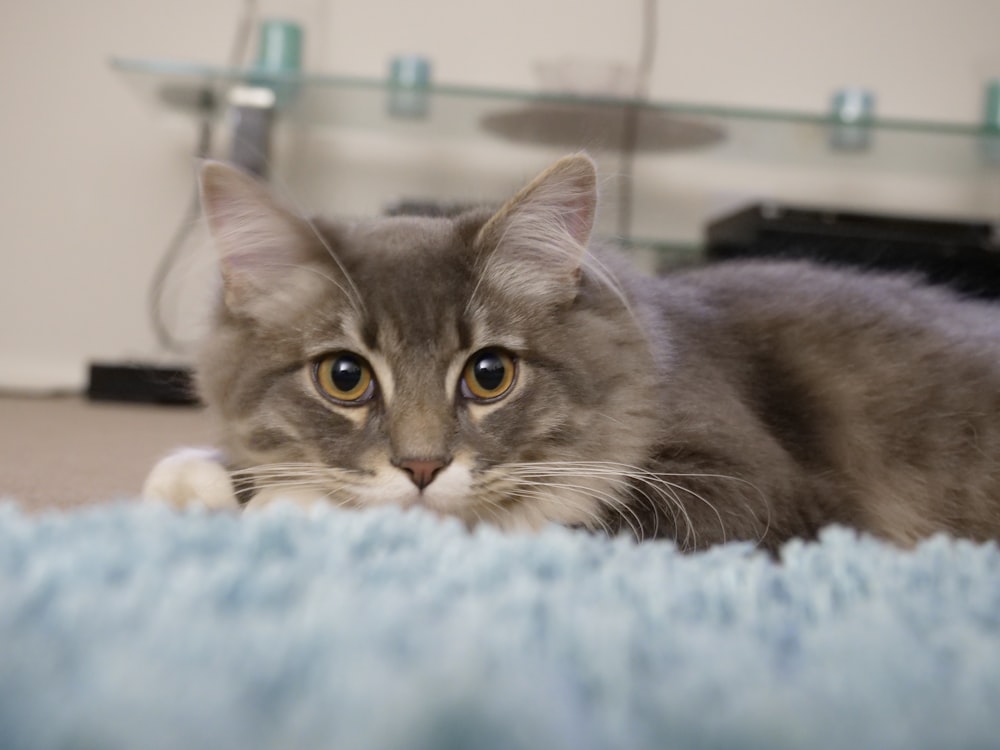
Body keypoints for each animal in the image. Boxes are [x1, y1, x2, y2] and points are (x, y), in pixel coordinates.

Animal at [145, 154, 1000, 552]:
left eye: (490, 374)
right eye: (345, 377)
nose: (421, 468)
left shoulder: (752, 489)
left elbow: (535, 517)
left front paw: (287, 505)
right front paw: (200, 478)